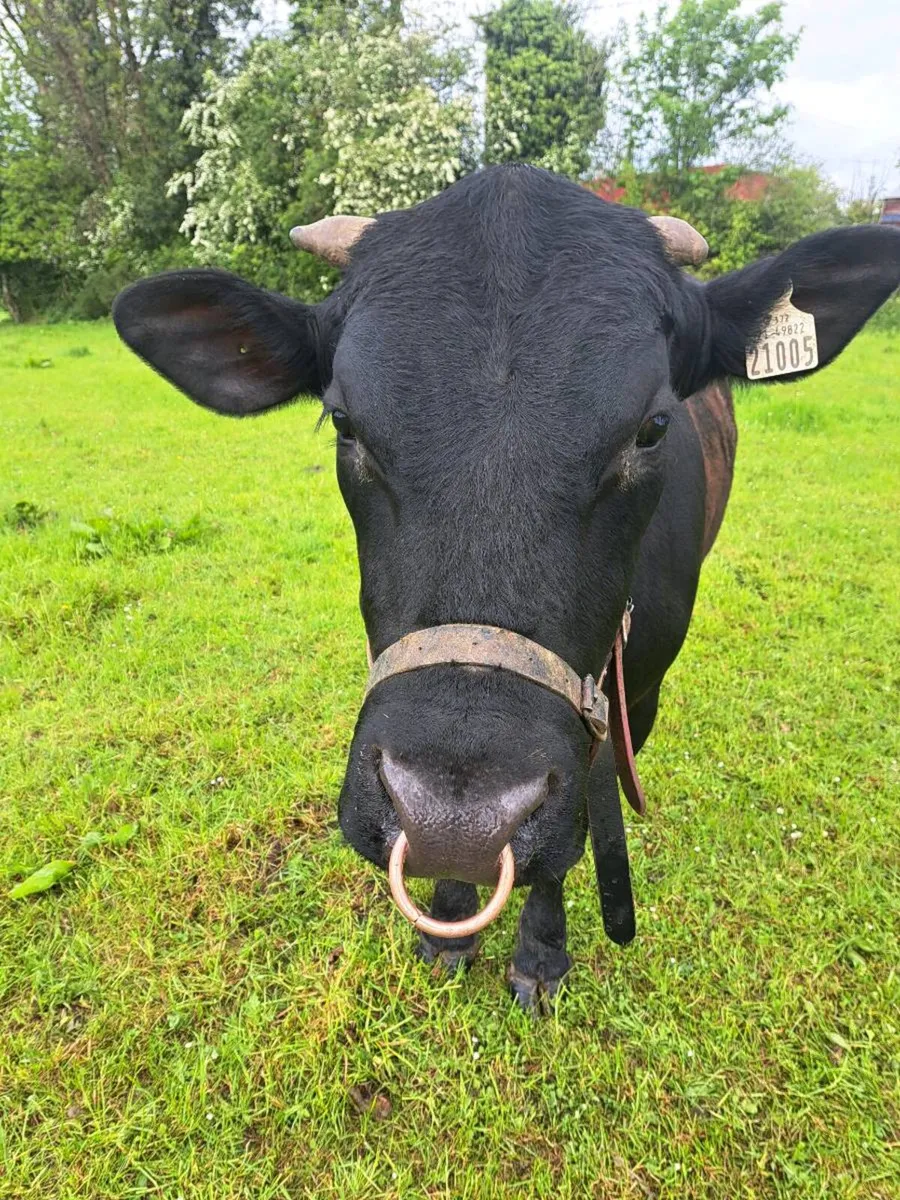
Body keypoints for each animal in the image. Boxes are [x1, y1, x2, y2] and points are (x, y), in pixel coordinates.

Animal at [113, 166, 900, 1009]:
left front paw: (541, 952)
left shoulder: (635, 694)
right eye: (344, 422)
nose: (456, 820)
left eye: (652, 428)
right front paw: (448, 925)